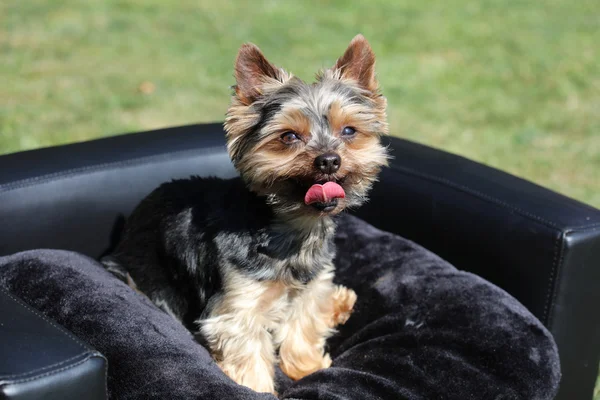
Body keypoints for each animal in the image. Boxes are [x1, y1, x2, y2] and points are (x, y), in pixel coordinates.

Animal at [102, 34, 390, 394]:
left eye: (349, 131)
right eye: (289, 136)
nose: (328, 160)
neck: (290, 226)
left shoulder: (310, 286)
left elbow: (303, 326)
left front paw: (307, 367)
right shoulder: (238, 308)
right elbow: (248, 356)